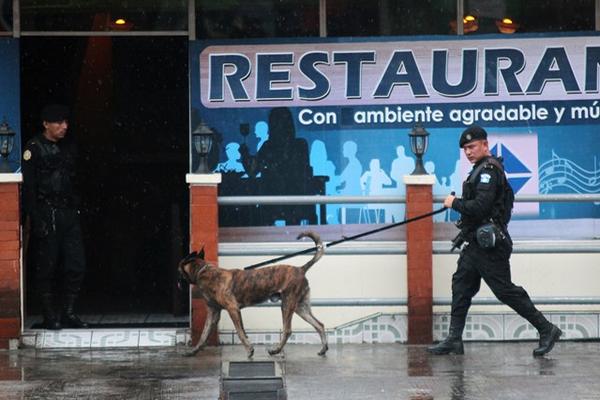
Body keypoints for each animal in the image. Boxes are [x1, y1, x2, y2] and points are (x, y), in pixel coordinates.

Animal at [21, 104, 88, 330]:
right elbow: (30, 185)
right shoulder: (30, 155)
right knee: (45, 273)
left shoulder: (73, 230)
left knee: (73, 269)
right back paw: (50, 320)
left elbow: (75, 269)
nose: (65, 126)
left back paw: (67, 317)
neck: (51, 141)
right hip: (48, 242)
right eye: (58, 120)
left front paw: (71, 317)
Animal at [178, 230, 328, 358]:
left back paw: (276, 350)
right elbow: (203, 335)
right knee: (319, 325)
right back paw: (323, 349)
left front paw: (249, 349)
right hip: (300, 308)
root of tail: (301, 269)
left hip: (287, 305)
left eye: (179, 270)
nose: (177, 282)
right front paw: (193, 351)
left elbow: (240, 332)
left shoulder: (233, 309)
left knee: (287, 330)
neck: (204, 272)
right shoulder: (213, 313)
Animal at [428, 125, 560, 356]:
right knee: (464, 288)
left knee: (508, 291)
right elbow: (460, 291)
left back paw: (548, 336)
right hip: (474, 259)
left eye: (471, 145)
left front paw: (452, 201)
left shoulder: (486, 178)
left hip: (492, 262)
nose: (468, 152)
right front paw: (451, 342)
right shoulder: (468, 262)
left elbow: (479, 203)